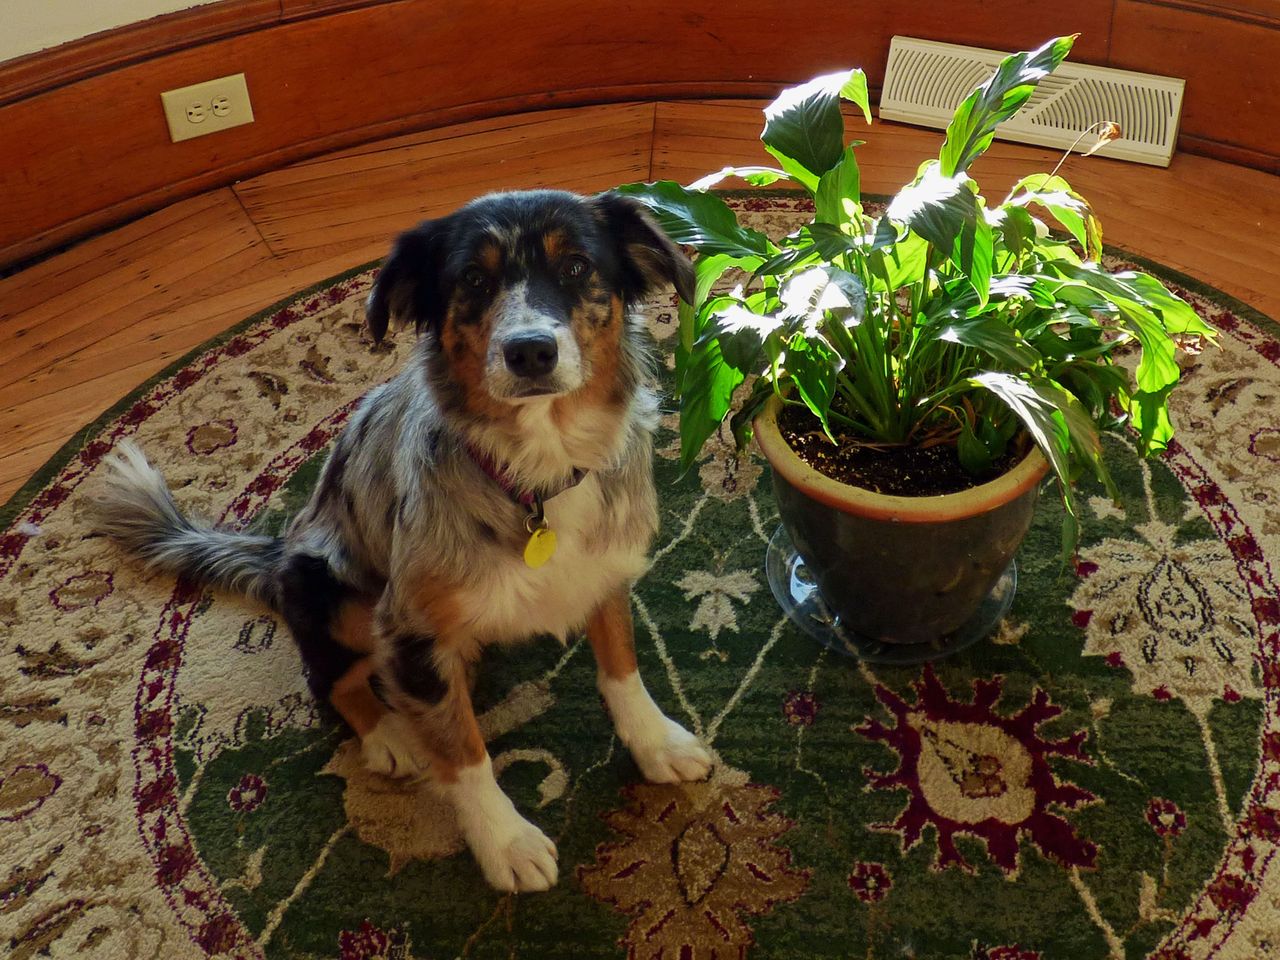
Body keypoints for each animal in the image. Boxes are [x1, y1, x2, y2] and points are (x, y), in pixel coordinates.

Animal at [90, 189, 711, 896]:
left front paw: (655, 742)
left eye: (578, 266)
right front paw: (505, 841)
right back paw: (391, 735)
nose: (530, 352)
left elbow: (622, 666)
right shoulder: (409, 626)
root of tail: (275, 554)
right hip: (330, 592)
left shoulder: (605, 571)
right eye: (472, 279)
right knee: (329, 680)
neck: (536, 479)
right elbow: (466, 754)